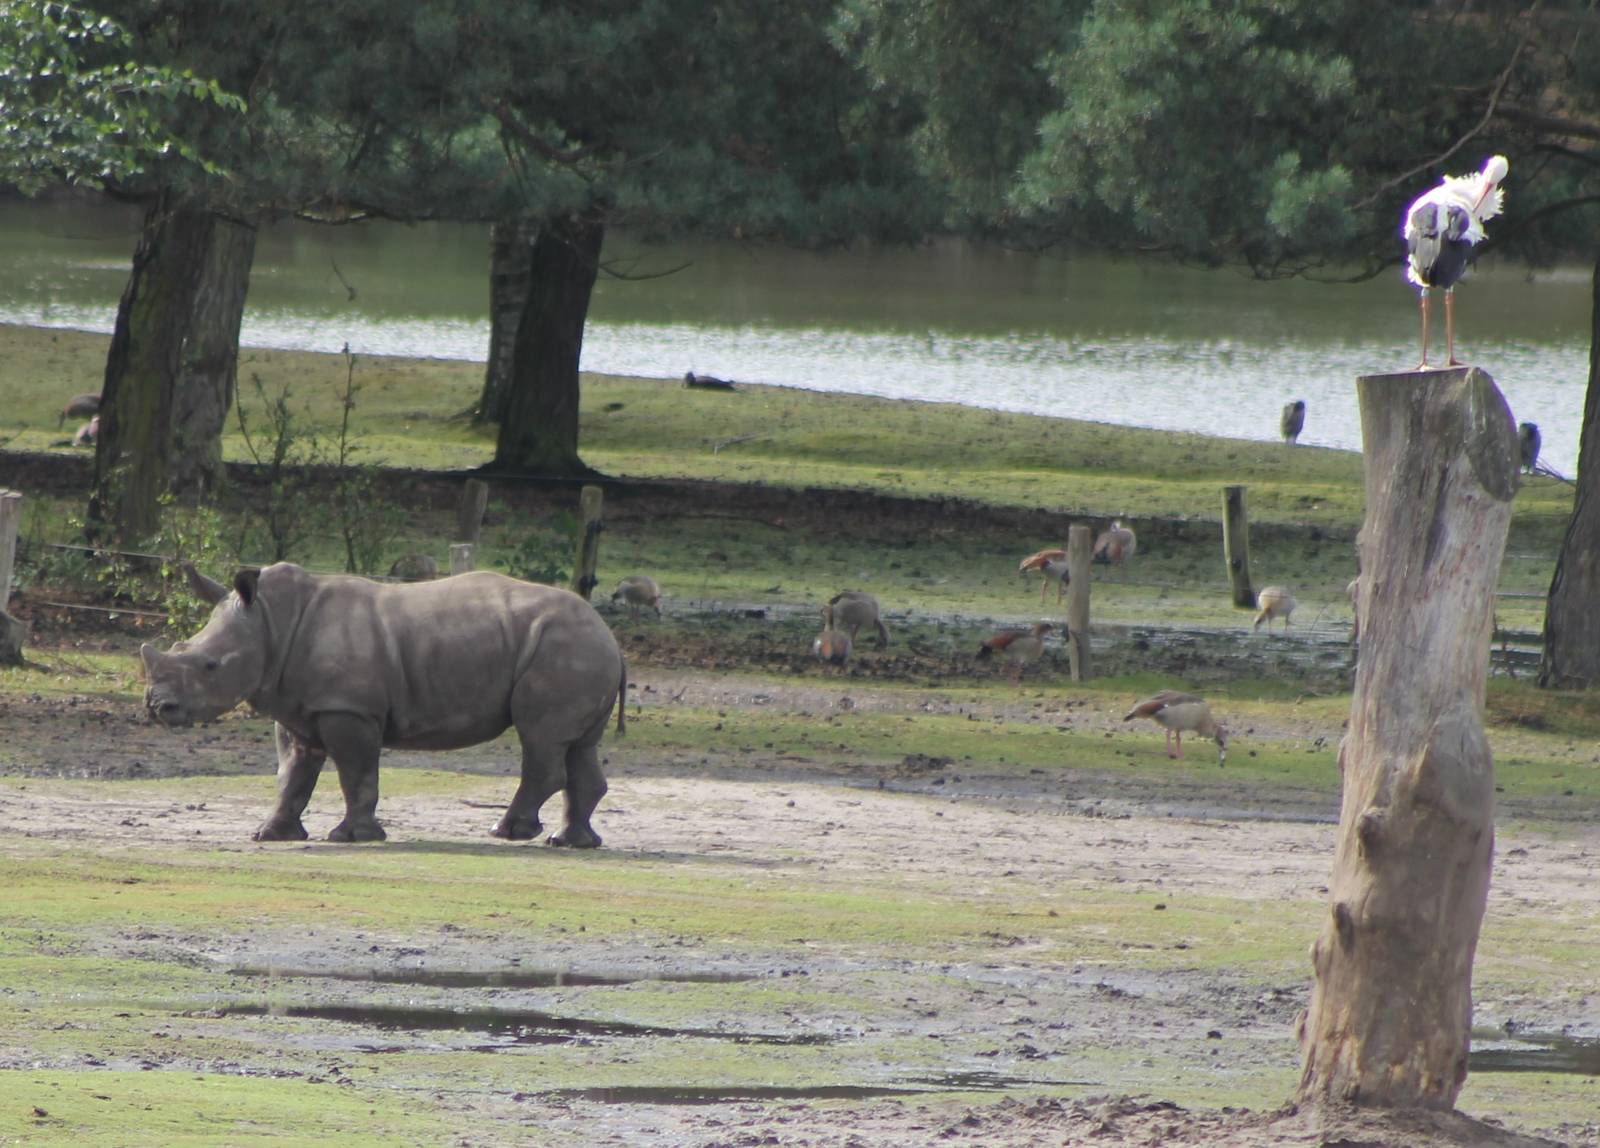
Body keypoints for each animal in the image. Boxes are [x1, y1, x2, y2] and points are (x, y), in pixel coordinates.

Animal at [140, 563, 625, 847]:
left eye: (210, 665)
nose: (157, 708)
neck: (270, 623)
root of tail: (612, 637)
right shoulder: (299, 707)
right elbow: (292, 775)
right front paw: (269, 835)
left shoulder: (347, 708)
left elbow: (356, 774)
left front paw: (350, 837)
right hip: (577, 648)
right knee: (578, 744)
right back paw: (571, 842)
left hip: (564, 648)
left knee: (540, 737)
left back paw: (507, 833)